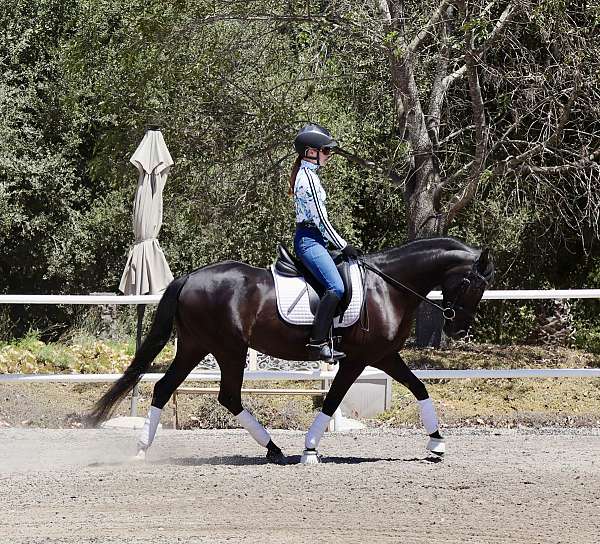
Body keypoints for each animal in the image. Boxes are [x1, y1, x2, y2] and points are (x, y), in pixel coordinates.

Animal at [89, 238, 492, 464]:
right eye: (472, 284)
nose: (458, 329)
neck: (387, 287)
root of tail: (190, 277)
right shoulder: (359, 360)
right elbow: (332, 401)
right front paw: (310, 450)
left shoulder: (384, 356)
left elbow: (419, 388)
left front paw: (437, 444)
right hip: (227, 348)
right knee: (226, 396)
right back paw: (273, 449)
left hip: (195, 346)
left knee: (167, 388)